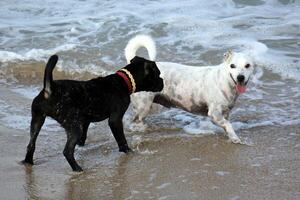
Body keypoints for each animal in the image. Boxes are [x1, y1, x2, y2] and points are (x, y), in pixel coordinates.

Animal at [22, 55, 163, 172]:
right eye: (158, 74)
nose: (163, 81)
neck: (123, 81)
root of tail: (50, 89)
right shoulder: (115, 120)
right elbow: (121, 139)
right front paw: (128, 151)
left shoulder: (85, 120)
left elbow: (84, 135)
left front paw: (81, 144)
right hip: (73, 126)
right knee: (67, 151)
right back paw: (77, 168)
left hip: (37, 119)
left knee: (31, 144)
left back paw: (28, 162)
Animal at [125, 34, 254, 144]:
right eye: (232, 66)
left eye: (247, 65)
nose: (240, 77)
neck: (224, 80)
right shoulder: (214, 113)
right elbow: (228, 125)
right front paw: (236, 138)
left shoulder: (225, 112)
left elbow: (226, 124)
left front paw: (230, 136)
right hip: (143, 106)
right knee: (135, 121)